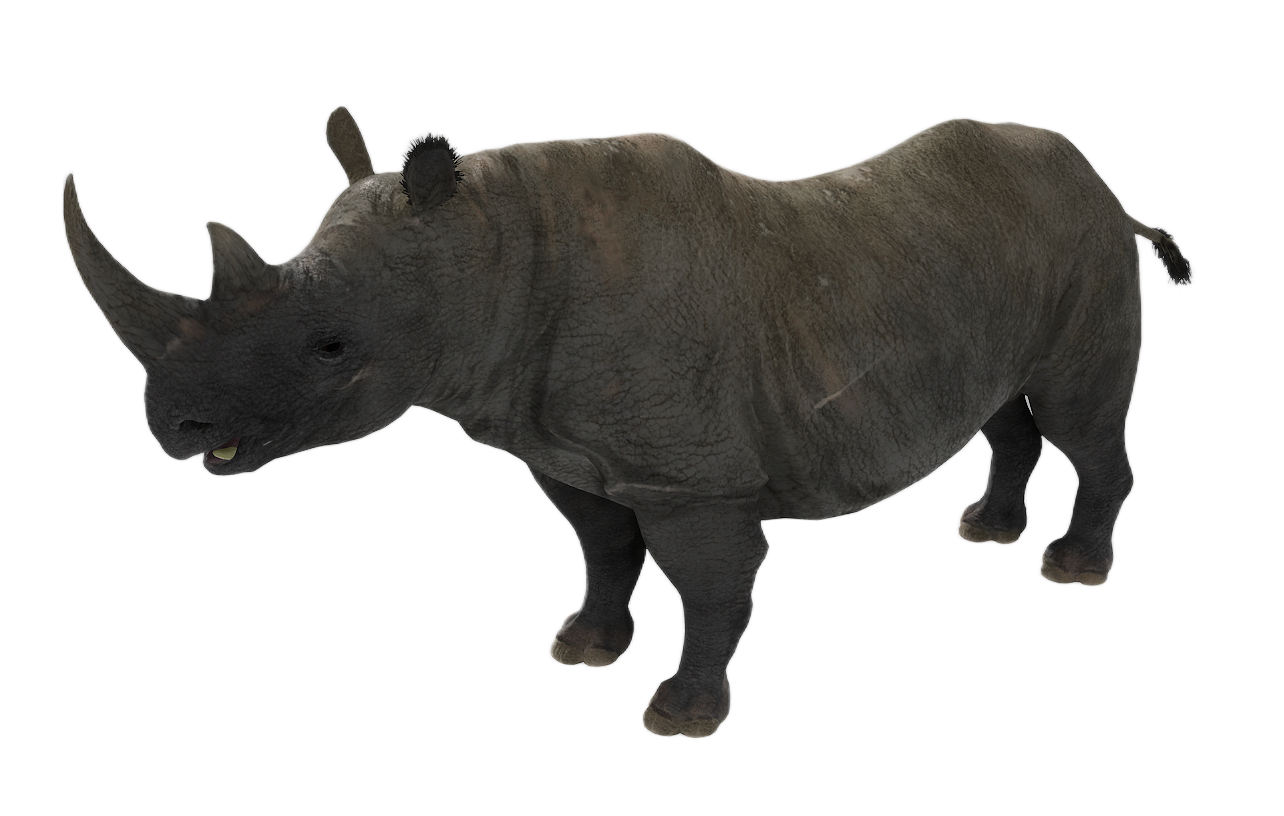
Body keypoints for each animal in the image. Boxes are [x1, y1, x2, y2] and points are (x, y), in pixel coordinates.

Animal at [62, 104, 1195, 738]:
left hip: (1085, 243)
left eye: (332, 348)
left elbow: (710, 586)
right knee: (1005, 407)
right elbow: (602, 550)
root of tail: (1109, 185)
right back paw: (986, 532)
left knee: (1079, 415)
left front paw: (682, 715)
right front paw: (582, 649)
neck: (492, 252)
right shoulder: (564, 448)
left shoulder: (692, 476)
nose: (174, 426)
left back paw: (1071, 569)